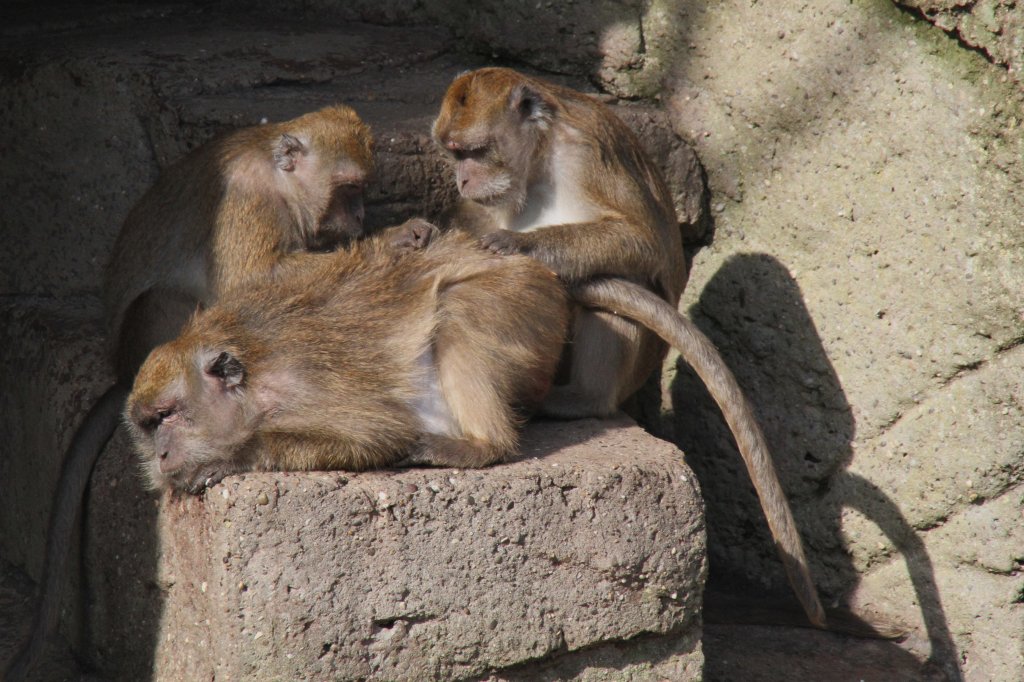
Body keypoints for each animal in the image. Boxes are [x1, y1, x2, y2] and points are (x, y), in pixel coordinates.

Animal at [4, 103, 380, 675]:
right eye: (348, 190)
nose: (360, 219)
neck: (277, 178)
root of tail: (120, 369)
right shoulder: (248, 203)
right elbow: (256, 279)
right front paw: (400, 238)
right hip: (150, 337)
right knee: (172, 301)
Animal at [122, 227, 569, 489]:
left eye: (167, 415)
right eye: (148, 426)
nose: (161, 455)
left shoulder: (303, 385)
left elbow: (380, 434)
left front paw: (232, 459)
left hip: (524, 298)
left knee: (460, 305)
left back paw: (483, 445)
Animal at [428, 69, 827, 626]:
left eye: (474, 151)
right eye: (452, 154)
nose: (463, 180)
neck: (538, 157)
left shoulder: (587, 152)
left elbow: (642, 242)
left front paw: (519, 246)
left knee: (612, 296)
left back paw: (580, 400)